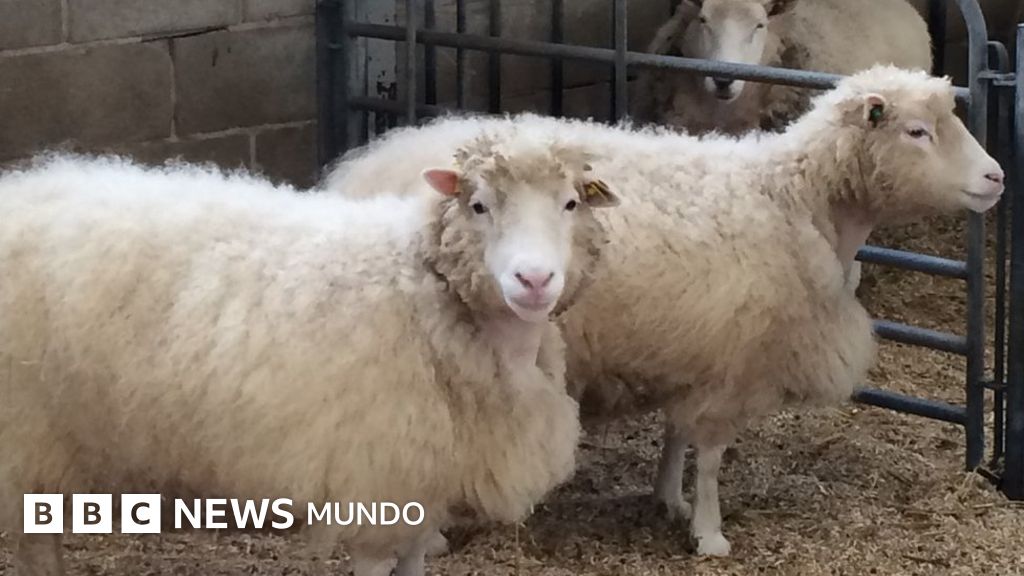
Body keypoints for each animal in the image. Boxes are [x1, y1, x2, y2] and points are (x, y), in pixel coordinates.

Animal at [0, 132, 621, 576]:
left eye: (570, 203)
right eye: (478, 205)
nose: (534, 280)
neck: (422, 289)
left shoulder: (424, 482)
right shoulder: (374, 481)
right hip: (27, 435)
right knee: (35, 547)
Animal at [321, 66, 1005, 556]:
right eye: (917, 132)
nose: (997, 177)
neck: (797, 200)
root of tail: (359, 173)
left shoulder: (696, 348)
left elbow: (677, 435)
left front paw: (669, 499)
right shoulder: (735, 360)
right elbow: (712, 457)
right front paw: (710, 533)